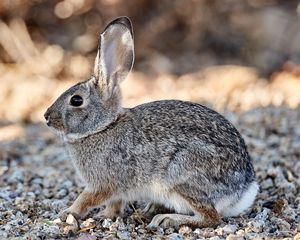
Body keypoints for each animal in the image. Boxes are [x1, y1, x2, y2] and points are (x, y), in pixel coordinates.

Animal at [44, 15, 258, 230]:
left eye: (76, 100)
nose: (46, 116)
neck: (104, 126)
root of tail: (244, 190)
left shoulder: (103, 182)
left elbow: (86, 199)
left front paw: (67, 213)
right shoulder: (117, 190)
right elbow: (114, 204)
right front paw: (105, 215)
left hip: (181, 177)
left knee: (211, 217)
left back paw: (167, 219)